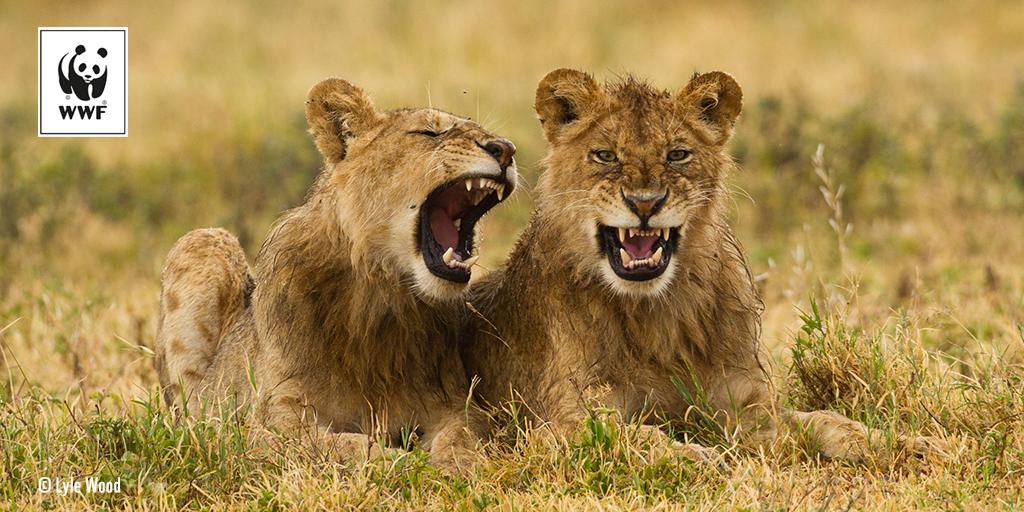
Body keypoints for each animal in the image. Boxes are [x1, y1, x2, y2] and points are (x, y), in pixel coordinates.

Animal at [154, 78, 518, 472]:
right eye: (429, 132)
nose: (506, 149)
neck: (382, 295)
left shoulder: (453, 402)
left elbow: (462, 435)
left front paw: (459, 464)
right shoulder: (274, 419)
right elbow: (345, 446)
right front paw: (406, 463)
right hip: (203, 241)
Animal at [460, 69, 945, 465]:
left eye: (677, 154)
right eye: (605, 155)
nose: (645, 203)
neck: (654, 315)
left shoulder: (747, 407)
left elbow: (824, 420)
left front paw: (905, 444)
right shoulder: (553, 421)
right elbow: (625, 435)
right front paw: (694, 456)